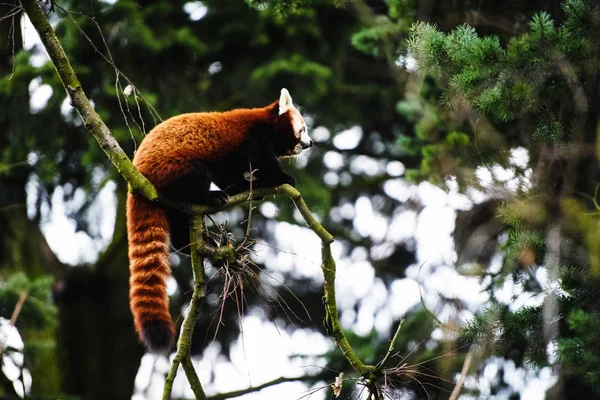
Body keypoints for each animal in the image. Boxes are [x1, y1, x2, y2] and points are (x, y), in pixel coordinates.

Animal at [127, 88, 314, 354]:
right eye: (304, 128)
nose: (310, 143)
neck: (267, 125)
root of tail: (138, 176)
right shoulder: (252, 141)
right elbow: (263, 164)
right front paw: (281, 178)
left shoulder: (232, 160)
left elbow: (231, 176)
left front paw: (248, 186)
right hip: (176, 166)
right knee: (196, 176)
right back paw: (210, 197)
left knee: (179, 226)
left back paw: (198, 245)